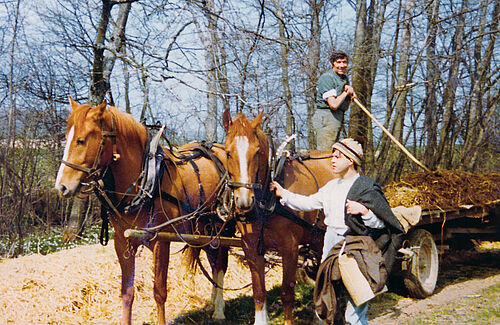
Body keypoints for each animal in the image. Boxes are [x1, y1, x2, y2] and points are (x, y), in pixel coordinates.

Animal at [55, 99, 232, 324]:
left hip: (222, 228)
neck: (145, 180)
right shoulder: (123, 242)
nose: (61, 187)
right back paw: (212, 305)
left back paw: (219, 311)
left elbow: (159, 292)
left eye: (81, 140)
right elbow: (127, 293)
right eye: (66, 139)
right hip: (205, 229)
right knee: (213, 260)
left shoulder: (161, 241)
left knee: (220, 264)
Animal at [223, 110, 336, 322]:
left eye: (257, 152)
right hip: (318, 238)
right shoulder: (251, 248)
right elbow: (259, 293)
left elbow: (287, 293)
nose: (244, 201)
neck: (269, 201)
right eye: (227, 152)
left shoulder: (289, 248)